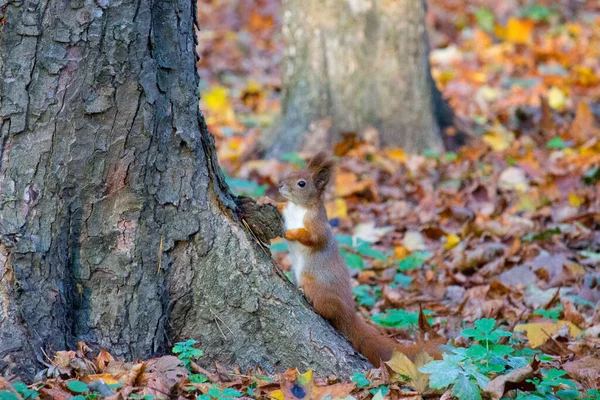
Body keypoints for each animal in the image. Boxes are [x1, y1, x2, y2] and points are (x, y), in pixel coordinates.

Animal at [264, 152, 428, 368]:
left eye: (301, 183)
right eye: (291, 172)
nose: (280, 184)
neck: (298, 208)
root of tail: (349, 313)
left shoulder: (318, 226)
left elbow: (312, 237)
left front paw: (291, 233)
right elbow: (281, 206)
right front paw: (268, 200)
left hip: (317, 286)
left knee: (328, 311)